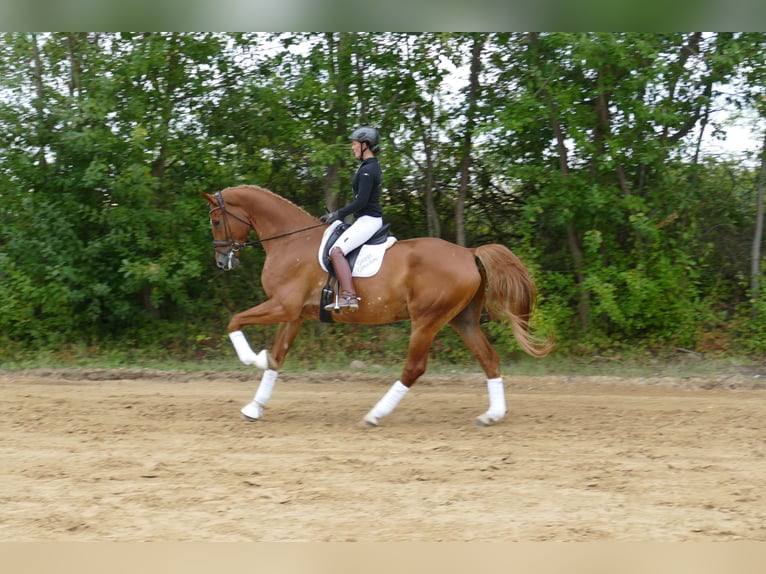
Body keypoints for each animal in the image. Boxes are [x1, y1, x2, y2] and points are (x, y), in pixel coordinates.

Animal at [201, 185, 552, 427]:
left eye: (216, 221)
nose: (222, 261)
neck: (291, 241)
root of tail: (468, 253)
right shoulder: (294, 314)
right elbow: (277, 358)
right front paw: (253, 407)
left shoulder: (283, 306)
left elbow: (235, 322)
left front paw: (253, 358)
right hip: (462, 320)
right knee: (489, 359)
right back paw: (491, 415)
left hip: (427, 320)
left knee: (414, 368)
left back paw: (374, 414)